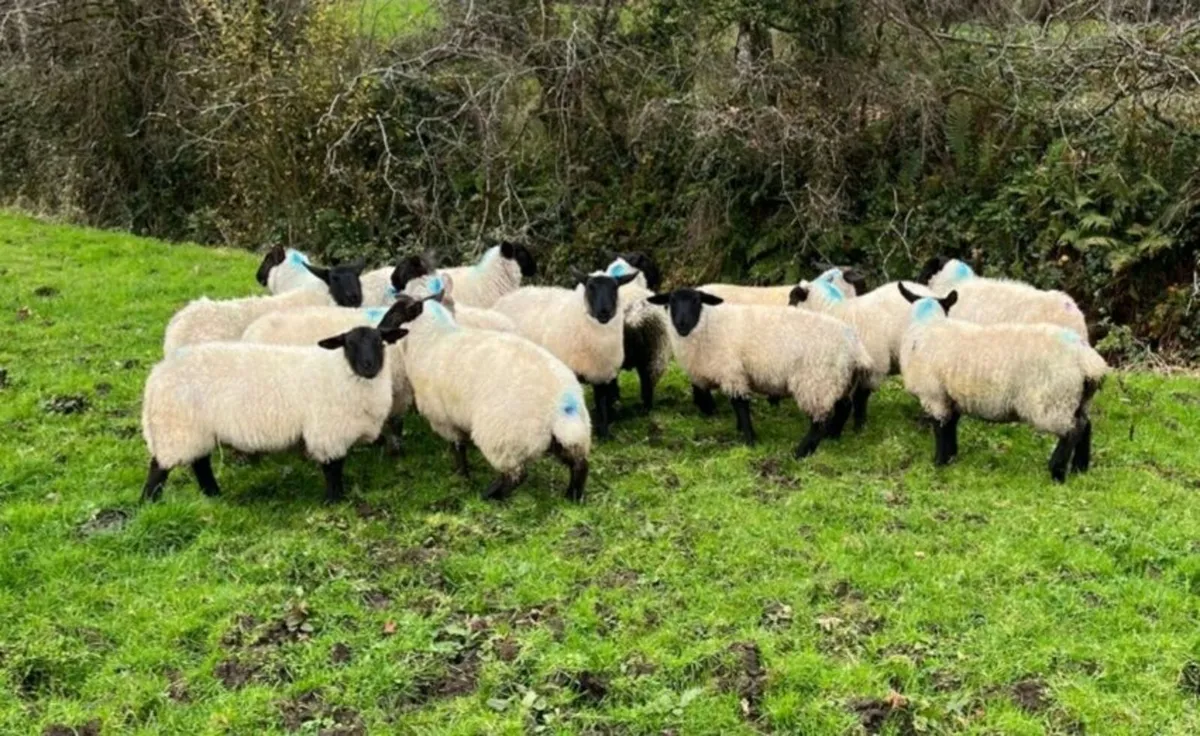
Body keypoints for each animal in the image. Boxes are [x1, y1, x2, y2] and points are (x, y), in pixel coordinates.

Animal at [141, 325, 407, 503]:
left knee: (200, 462)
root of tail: (157, 374)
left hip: (196, 429)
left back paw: (213, 495)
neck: (342, 373)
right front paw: (334, 500)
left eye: (381, 342)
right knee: (159, 467)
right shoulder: (328, 432)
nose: (369, 367)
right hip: (176, 427)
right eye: (348, 344)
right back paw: (149, 502)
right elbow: (333, 468)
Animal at [386, 296, 592, 501]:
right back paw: (572, 497)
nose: (382, 332)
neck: (431, 340)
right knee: (580, 464)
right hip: (568, 439)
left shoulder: (444, 419)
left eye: (396, 312)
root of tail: (563, 403)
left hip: (504, 439)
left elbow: (458, 448)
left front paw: (461, 476)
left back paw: (490, 496)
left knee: (516, 475)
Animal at [491, 270, 639, 439]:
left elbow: (602, 403)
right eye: (590, 287)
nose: (604, 312)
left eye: (615, 287)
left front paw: (605, 433)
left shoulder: (601, 374)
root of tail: (510, 295)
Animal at [647, 289, 874, 457]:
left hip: (817, 380)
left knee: (820, 421)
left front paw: (749, 440)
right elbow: (736, 406)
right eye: (671, 301)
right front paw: (741, 430)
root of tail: (854, 345)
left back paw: (801, 452)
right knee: (844, 407)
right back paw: (833, 437)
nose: (682, 324)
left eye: (697, 301)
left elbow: (740, 405)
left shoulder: (732, 372)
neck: (708, 327)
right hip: (839, 378)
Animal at [896, 283, 1108, 482]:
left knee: (1071, 432)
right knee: (1085, 426)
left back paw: (1057, 472)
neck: (927, 325)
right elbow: (950, 427)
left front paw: (939, 462)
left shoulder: (934, 396)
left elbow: (941, 429)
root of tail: (1087, 359)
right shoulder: (951, 396)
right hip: (1079, 399)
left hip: (1054, 401)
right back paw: (1080, 468)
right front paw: (951, 458)